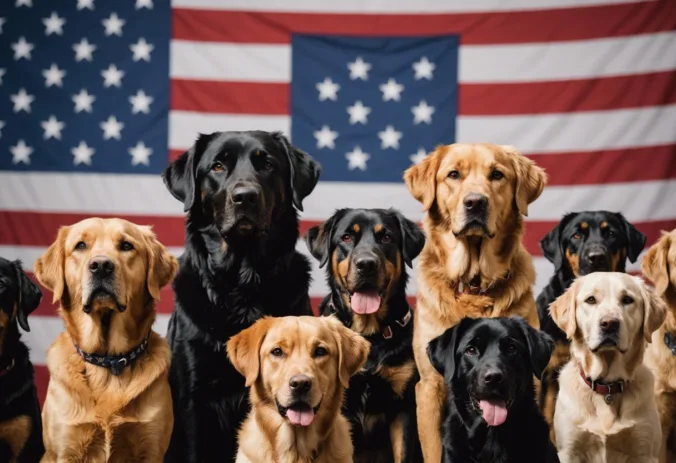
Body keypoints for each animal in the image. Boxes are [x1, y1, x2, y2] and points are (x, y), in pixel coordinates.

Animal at [34, 218, 177, 463]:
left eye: (126, 246)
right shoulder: (66, 448)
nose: (101, 265)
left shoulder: (151, 448)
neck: (108, 360)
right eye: (80, 245)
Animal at [552, 274, 668, 462]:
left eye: (627, 299)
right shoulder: (569, 450)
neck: (607, 386)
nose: (609, 323)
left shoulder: (645, 450)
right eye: (590, 300)